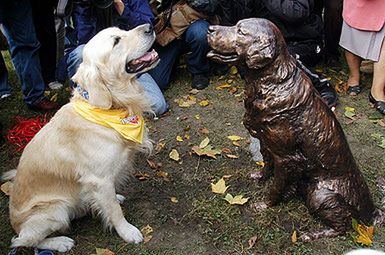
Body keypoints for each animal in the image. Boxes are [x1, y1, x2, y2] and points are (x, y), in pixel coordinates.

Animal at [3, 23, 159, 251]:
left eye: (122, 30)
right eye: (116, 41)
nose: (150, 26)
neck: (108, 109)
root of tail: (15, 224)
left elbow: (110, 200)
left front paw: (115, 198)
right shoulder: (99, 179)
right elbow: (114, 210)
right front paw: (128, 231)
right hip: (55, 210)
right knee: (24, 240)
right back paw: (60, 242)